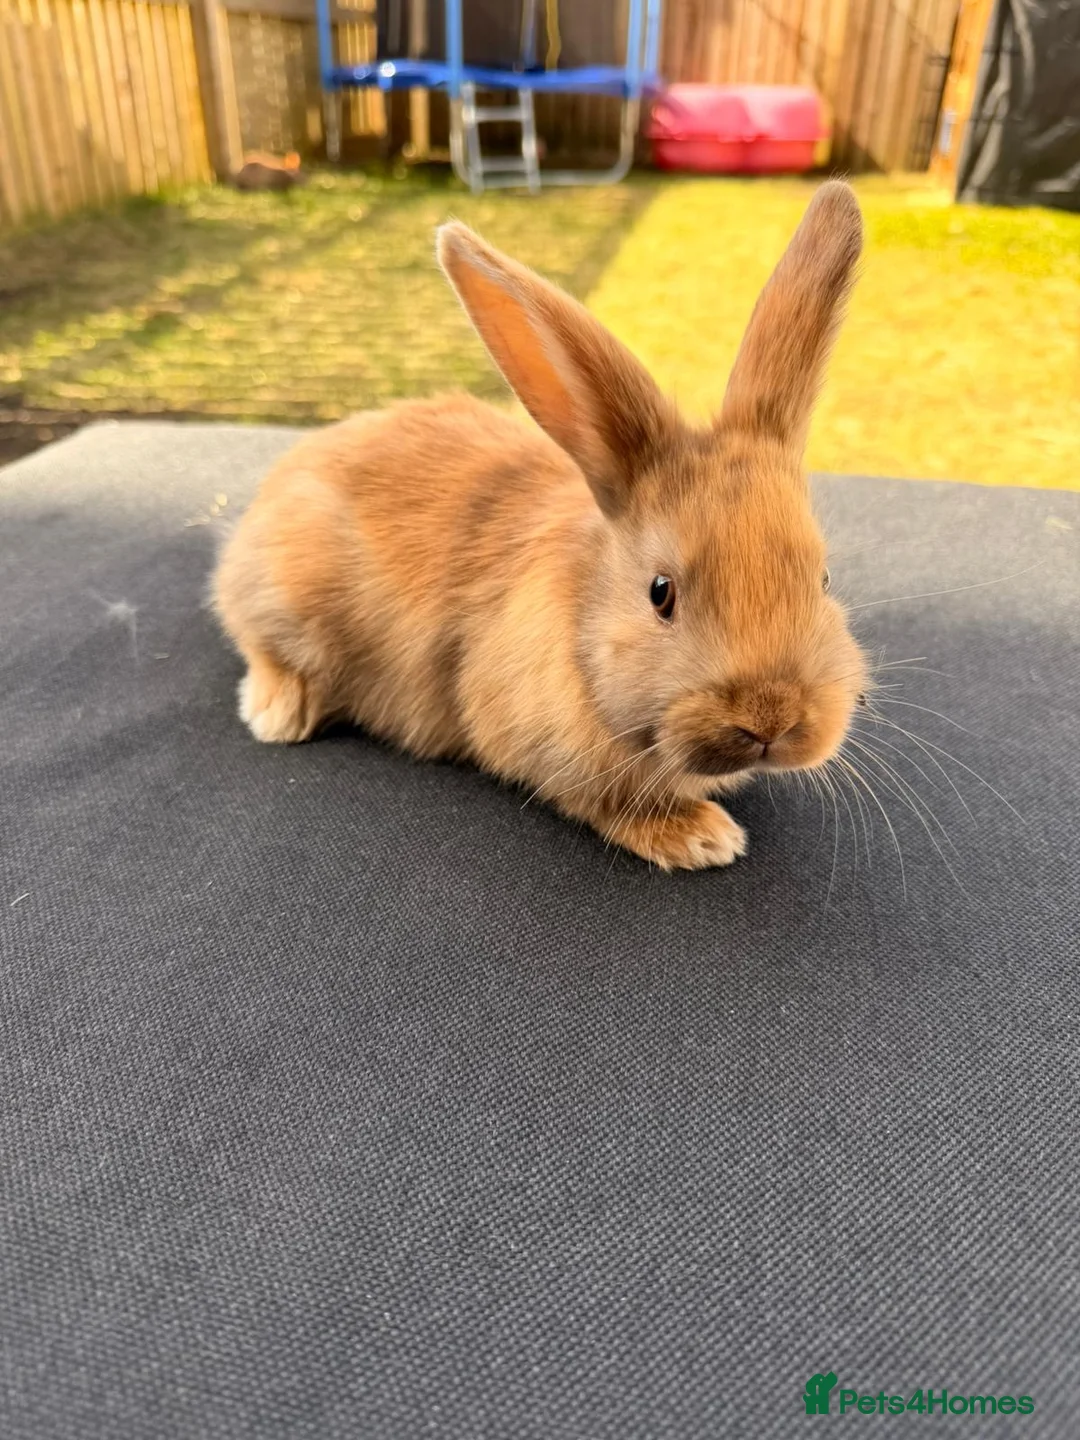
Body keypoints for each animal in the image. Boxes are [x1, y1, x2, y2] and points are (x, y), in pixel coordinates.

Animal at [213, 180, 868, 870]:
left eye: (824, 580)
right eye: (660, 593)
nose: (772, 719)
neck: (584, 626)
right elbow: (607, 803)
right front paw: (702, 837)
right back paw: (278, 713)